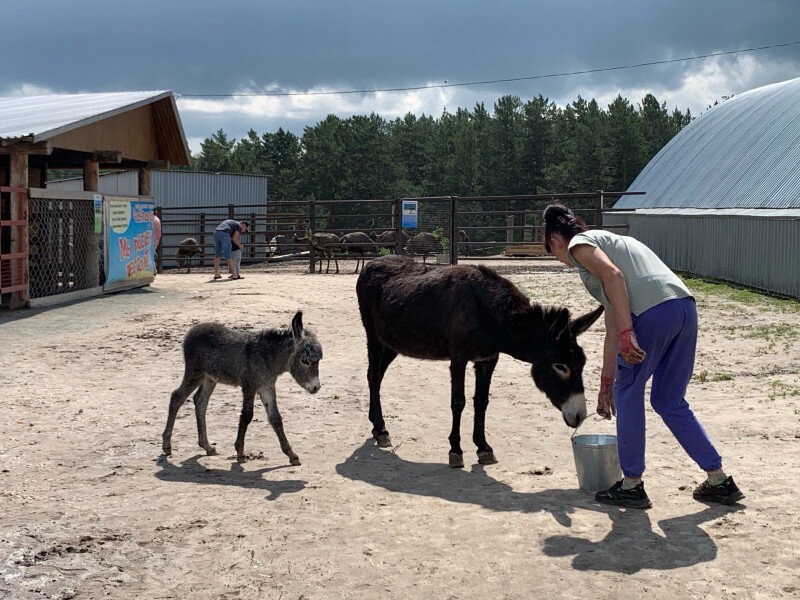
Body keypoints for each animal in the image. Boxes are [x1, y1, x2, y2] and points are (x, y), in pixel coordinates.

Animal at [161, 312, 324, 466]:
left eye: (318, 361)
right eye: (305, 361)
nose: (316, 387)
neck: (267, 357)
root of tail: (191, 331)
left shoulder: (266, 386)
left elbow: (275, 418)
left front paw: (291, 455)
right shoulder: (249, 386)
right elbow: (246, 416)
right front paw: (240, 453)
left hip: (209, 379)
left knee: (200, 401)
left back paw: (207, 446)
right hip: (195, 373)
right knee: (177, 397)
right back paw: (167, 445)